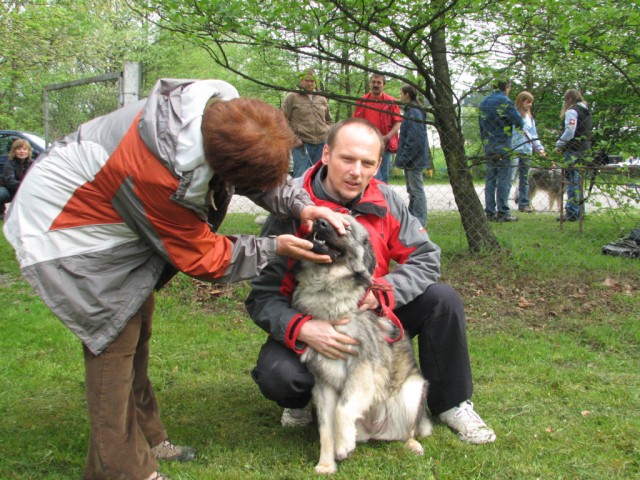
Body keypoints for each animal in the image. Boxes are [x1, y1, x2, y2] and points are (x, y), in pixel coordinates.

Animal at [292, 215, 432, 476]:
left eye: (345, 228)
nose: (320, 221)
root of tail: (376, 431)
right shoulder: (322, 382)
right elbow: (326, 429)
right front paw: (326, 463)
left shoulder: (362, 368)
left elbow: (343, 408)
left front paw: (343, 445)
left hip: (413, 391)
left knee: (410, 431)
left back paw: (413, 445)